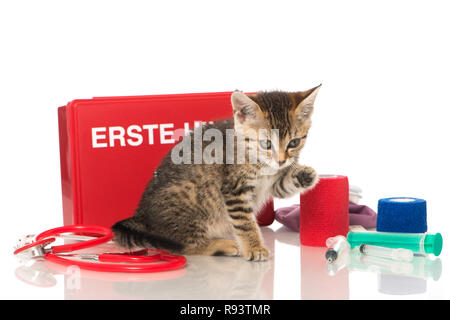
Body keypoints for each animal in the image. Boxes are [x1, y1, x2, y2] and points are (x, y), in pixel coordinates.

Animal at [113, 85, 324, 260]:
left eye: (294, 142)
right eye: (266, 143)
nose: (281, 160)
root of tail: (142, 216)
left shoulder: (272, 183)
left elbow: (282, 185)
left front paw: (305, 175)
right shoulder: (234, 189)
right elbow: (244, 222)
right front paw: (254, 247)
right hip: (192, 199)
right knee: (185, 246)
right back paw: (221, 246)